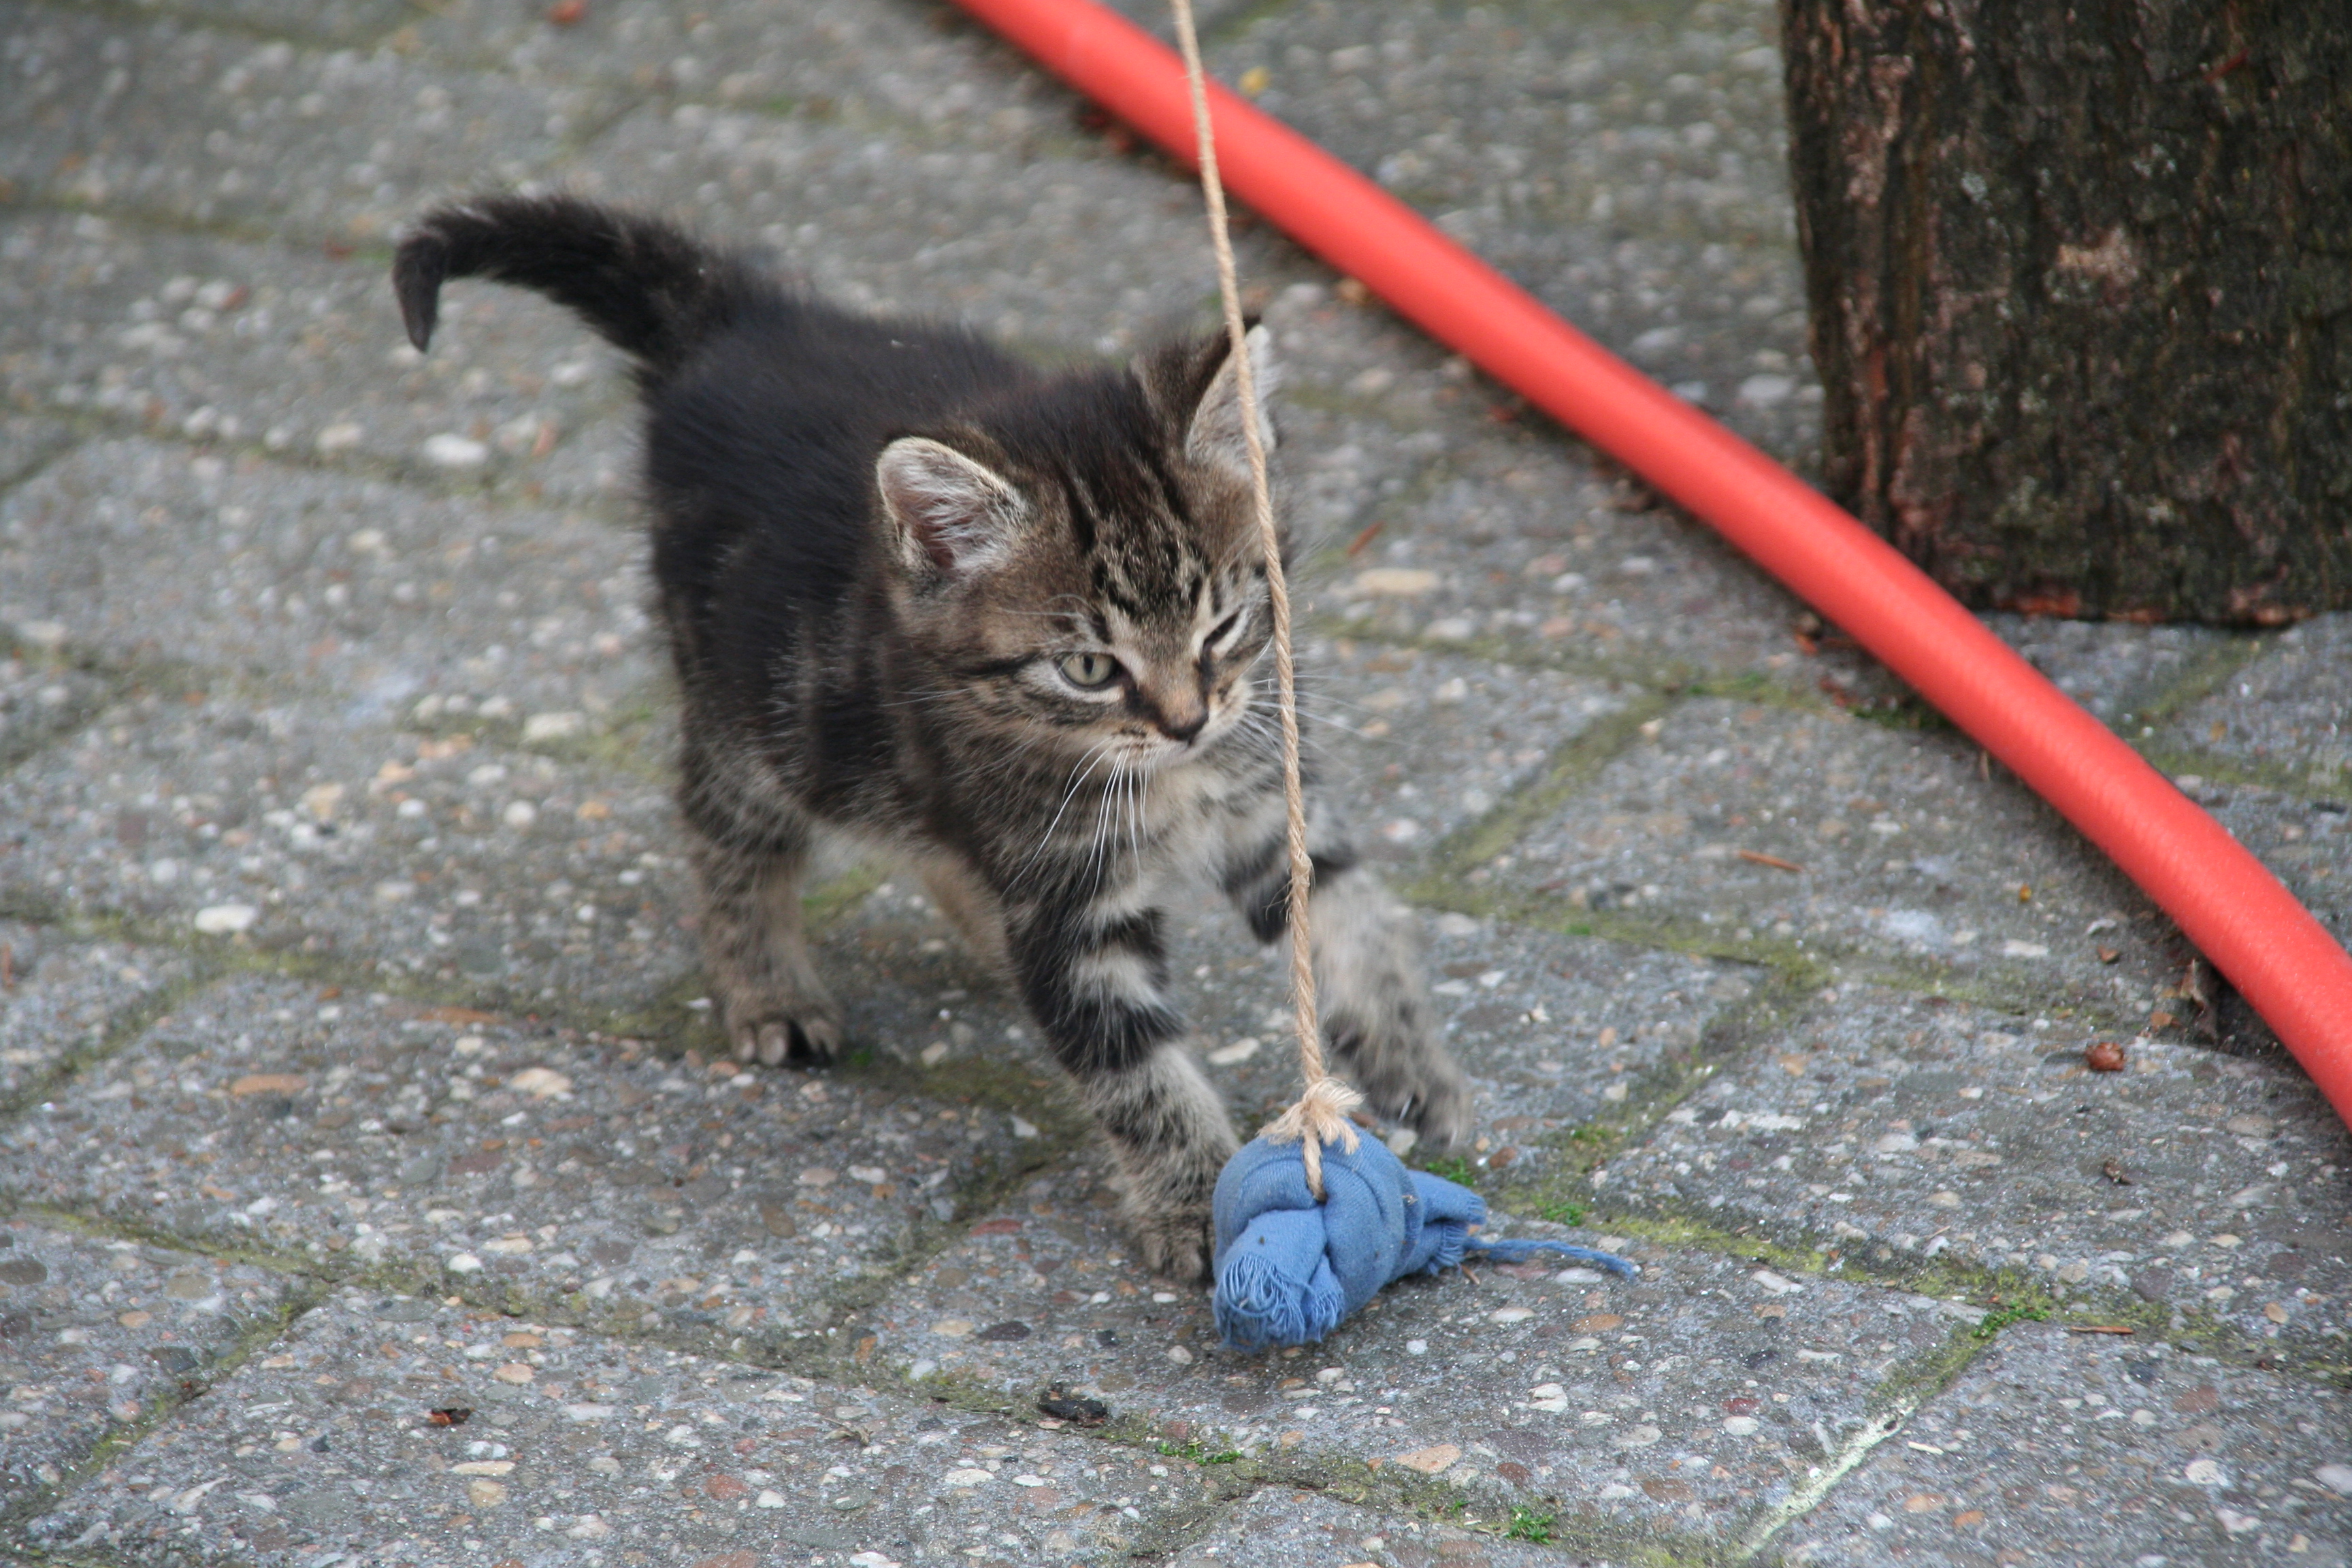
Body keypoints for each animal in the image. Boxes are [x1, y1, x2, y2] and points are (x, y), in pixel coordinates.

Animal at [392, 194, 1470, 1280]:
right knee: (724, 823)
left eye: (1223, 626)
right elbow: (1134, 1065)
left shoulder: (1259, 786)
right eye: (1090, 668)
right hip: (758, 706)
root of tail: (742, 317)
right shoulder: (1066, 900)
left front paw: (1407, 1056)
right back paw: (765, 984)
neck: (1164, 777)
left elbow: (1351, 910)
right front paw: (1199, 1205)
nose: (1186, 719)